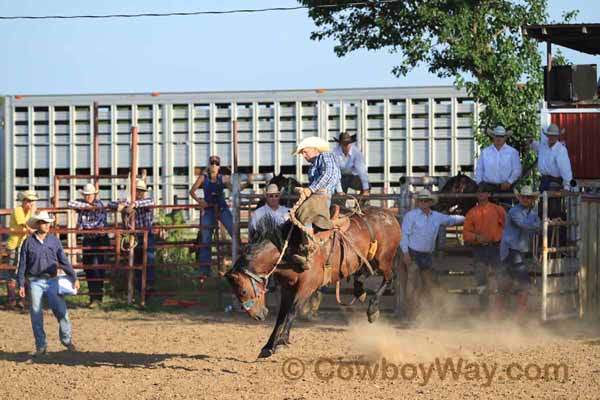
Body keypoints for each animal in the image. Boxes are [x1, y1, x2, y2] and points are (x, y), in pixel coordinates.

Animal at [227, 208, 400, 358]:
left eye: (242, 291)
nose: (258, 315)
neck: (290, 251)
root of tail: (390, 216)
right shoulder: (287, 288)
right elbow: (281, 316)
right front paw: (268, 346)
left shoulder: (306, 287)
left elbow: (292, 312)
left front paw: (282, 342)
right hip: (365, 260)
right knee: (366, 272)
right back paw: (359, 290)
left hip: (384, 259)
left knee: (388, 278)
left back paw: (372, 310)